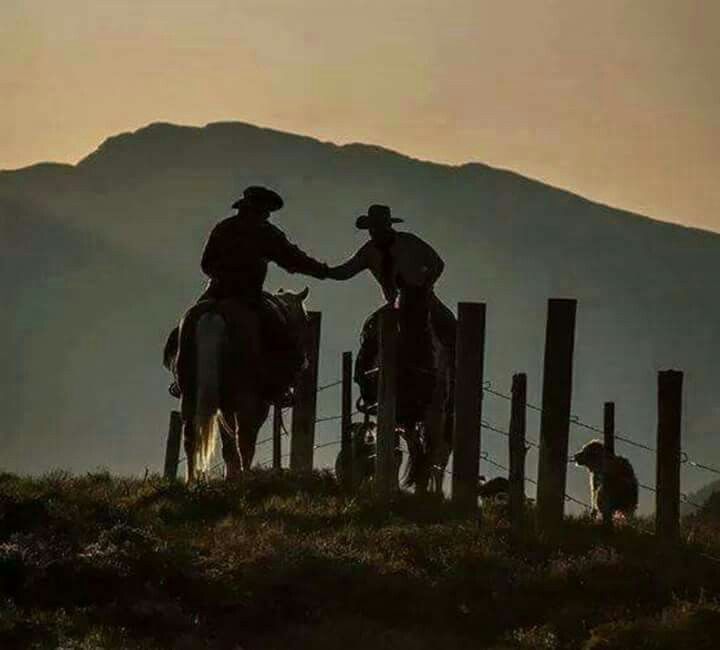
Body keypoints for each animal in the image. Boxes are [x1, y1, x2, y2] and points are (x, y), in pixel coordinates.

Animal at [165, 286, 310, 478]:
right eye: (306, 320)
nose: (304, 361)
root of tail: (214, 313)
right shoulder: (258, 404)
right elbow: (245, 439)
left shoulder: (225, 407)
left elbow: (228, 443)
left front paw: (231, 475)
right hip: (245, 399)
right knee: (245, 438)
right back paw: (245, 475)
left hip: (189, 396)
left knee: (191, 437)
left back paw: (192, 480)